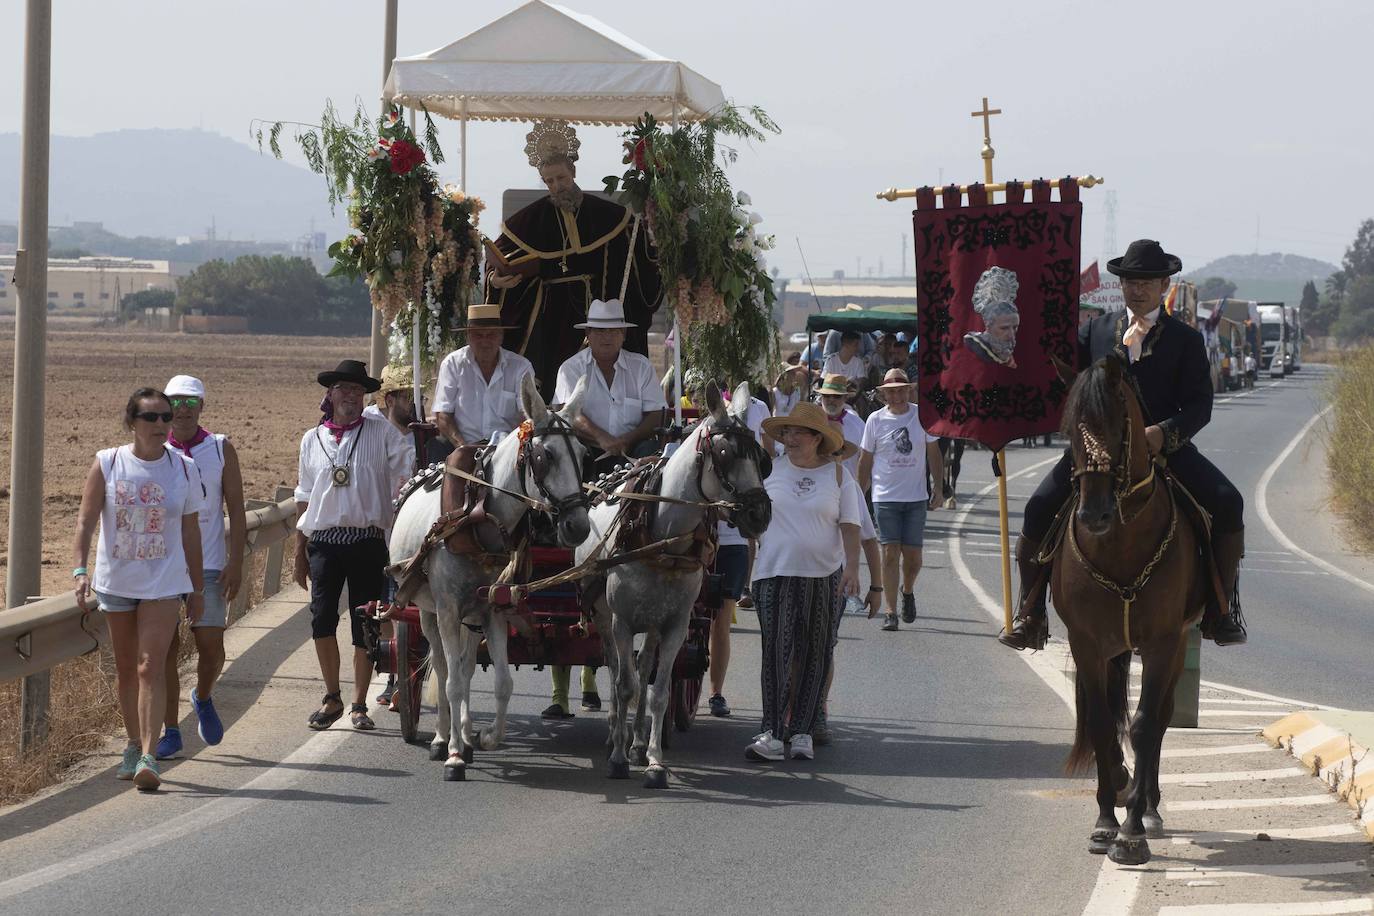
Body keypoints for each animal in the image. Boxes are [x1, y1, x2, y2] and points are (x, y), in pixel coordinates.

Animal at [387, 373, 590, 780]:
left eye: (583, 455)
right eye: (544, 457)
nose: (578, 525)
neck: (479, 514)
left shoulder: (494, 610)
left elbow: (501, 682)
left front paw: (485, 738)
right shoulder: (449, 611)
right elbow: (450, 682)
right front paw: (452, 756)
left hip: (472, 617)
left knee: (464, 667)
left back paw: (464, 735)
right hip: (428, 613)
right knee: (444, 667)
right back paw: (442, 739)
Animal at [574, 384, 774, 791]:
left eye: (761, 457)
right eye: (725, 453)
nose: (759, 514)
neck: (662, 539)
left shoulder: (676, 625)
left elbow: (659, 691)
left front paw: (652, 761)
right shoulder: (621, 621)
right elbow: (624, 685)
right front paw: (618, 759)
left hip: (653, 622)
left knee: (643, 667)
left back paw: (635, 742)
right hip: (603, 615)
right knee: (615, 667)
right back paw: (615, 737)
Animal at [1049, 357, 1203, 867]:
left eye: (1119, 427)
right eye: (1069, 430)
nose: (1092, 515)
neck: (1119, 542)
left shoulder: (1161, 643)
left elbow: (1144, 725)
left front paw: (1132, 832)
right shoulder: (1088, 643)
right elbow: (1101, 724)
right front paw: (1104, 822)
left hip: (1177, 645)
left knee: (1161, 718)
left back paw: (1150, 807)